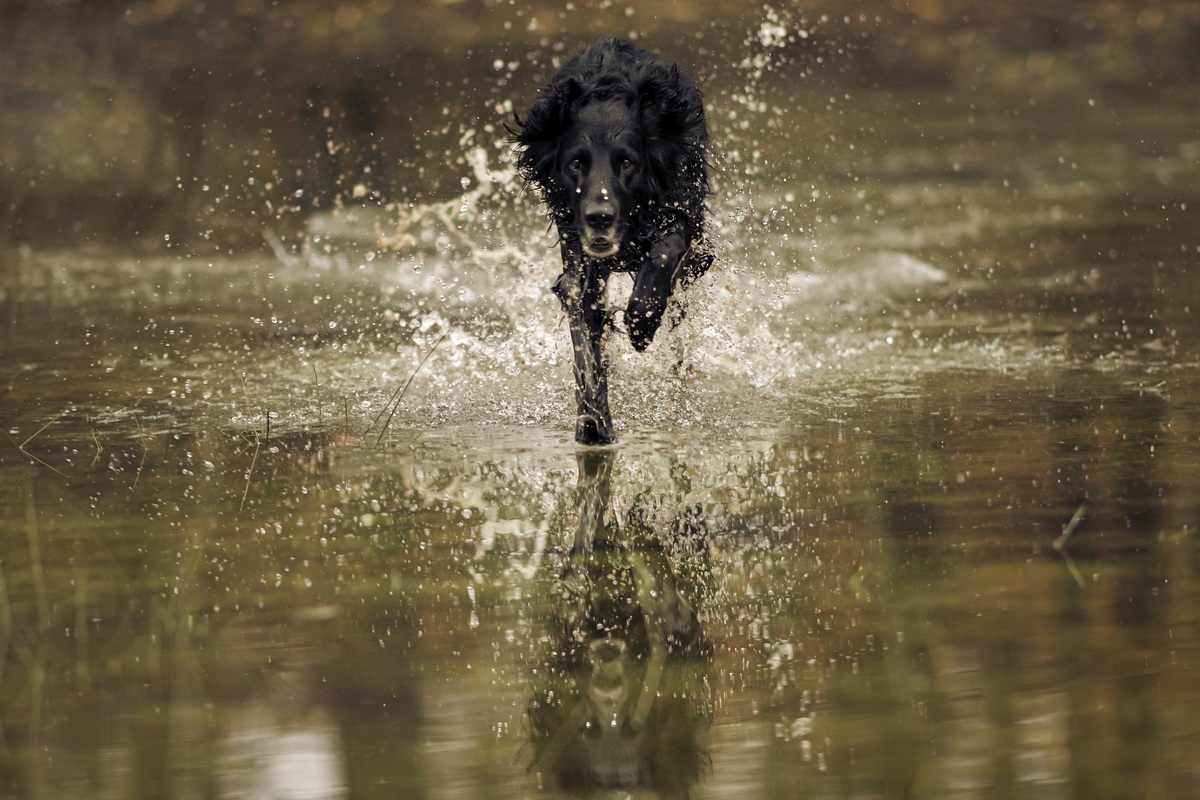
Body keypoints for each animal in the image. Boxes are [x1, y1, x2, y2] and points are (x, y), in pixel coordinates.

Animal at [508, 35, 710, 443]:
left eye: (627, 162)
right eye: (575, 163)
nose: (599, 217)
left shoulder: (685, 217)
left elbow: (665, 253)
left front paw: (641, 322)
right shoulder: (578, 263)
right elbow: (585, 338)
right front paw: (593, 421)